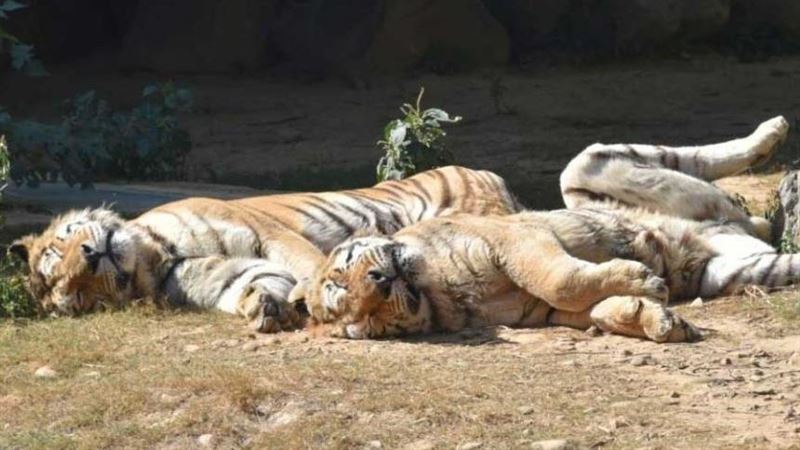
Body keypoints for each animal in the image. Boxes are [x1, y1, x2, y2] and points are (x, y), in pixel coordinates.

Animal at [8, 166, 521, 332]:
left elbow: (310, 267)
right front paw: (265, 309)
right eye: (80, 293)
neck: (156, 260)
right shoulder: (227, 275)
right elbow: (254, 283)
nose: (92, 256)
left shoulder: (269, 234)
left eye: (61, 248)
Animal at [305, 116, 793, 342]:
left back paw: (772, 132)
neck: (438, 295)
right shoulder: (539, 312)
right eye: (366, 317)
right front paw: (657, 317)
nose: (380, 282)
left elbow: (560, 279)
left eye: (346, 267)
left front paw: (643, 281)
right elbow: (592, 307)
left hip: (584, 171)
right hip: (735, 269)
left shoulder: (515, 241)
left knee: (677, 156)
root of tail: (730, 224)